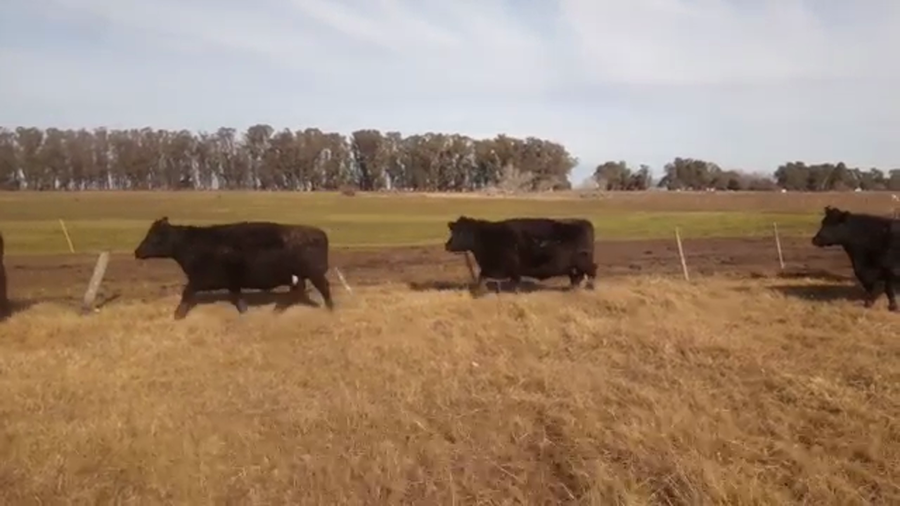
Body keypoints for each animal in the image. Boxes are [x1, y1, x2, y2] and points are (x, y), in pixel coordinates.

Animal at [134, 217, 337, 319]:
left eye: (154, 237)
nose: (137, 251)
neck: (192, 244)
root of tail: (318, 232)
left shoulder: (199, 279)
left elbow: (186, 294)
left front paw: (177, 315)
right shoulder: (232, 282)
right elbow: (238, 299)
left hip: (314, 273)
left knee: (324, 289)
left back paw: (330, 310)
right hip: (300, 276)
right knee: (297, 290)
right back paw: (276, 311)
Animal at [444, 215, 598, 295]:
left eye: (462, 232)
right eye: (454, 231)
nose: (447, 245)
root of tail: (583, 221)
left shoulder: (503, 267)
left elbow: (483, 277)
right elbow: (484, 277)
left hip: (583, 262)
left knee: (591, 272)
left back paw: (590, 287)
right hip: (574, 266)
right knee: (576, 277)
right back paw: (573, 289)